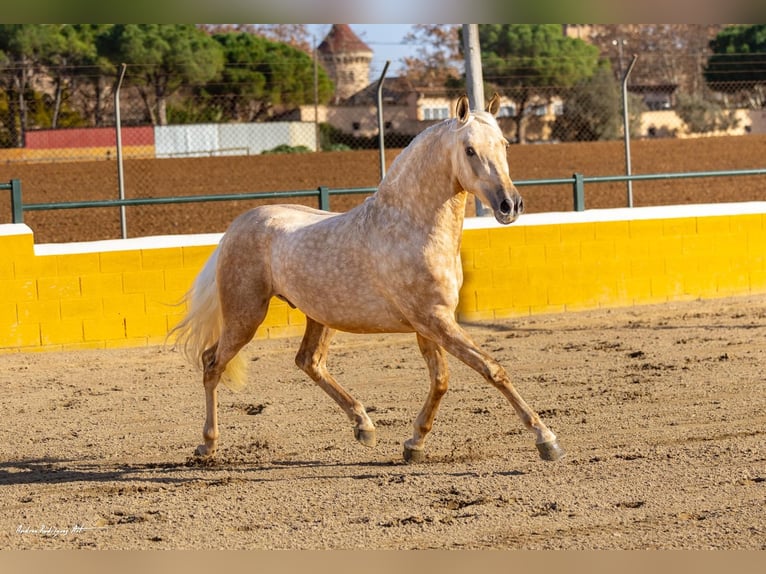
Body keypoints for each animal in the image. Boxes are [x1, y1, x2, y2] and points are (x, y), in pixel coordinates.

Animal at [171, 93, 568, 464]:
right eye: (469, 150)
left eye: (504, 145)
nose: (510, 205)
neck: (411, 228)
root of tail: (237, 226)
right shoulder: (435, 321)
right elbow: (491, 369)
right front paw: (546, 440)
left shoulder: (430, 323)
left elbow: (440, 381)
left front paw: (414, 444)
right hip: (246, 315)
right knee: (212, 363)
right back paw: (207, 445)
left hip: (320, 316)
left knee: (309, 362)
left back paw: (364, 426)